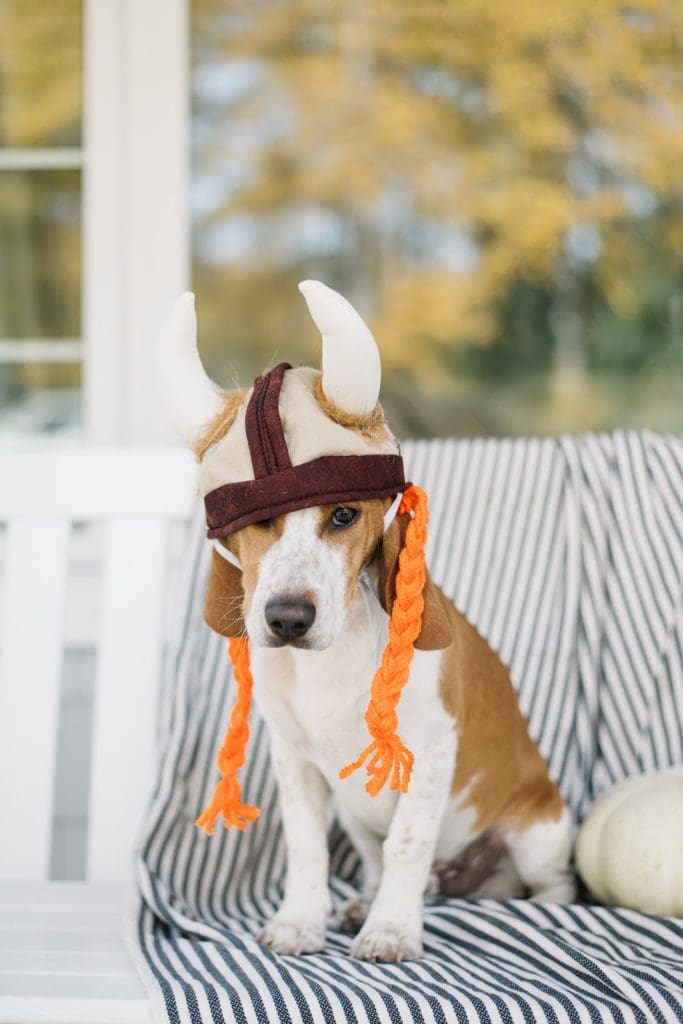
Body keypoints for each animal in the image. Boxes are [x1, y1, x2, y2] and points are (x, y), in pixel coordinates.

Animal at [157, 278, 573, 958]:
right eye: (253, 521)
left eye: (345, 515)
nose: (288, 619)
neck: (331, 663)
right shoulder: (294, 760)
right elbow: (306, 849)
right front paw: (302, 919)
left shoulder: (430, 754)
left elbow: (407, 846)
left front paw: (392, 930)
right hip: (355, 819)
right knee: (379, 866)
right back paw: (358, 905)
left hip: (540, 835)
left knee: (552, 885)